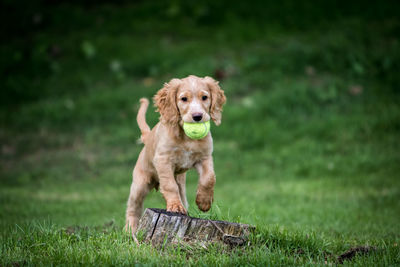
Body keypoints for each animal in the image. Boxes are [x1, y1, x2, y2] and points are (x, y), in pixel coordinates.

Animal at [125, 75, 225, 232]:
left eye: (204, 97)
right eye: (184, 99)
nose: (197, 116)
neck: (186, 138)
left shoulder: (205, 158)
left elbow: (209, 178)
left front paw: (204, 202)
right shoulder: (163, 160)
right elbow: (169, 185)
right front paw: (175, 207)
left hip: (181, 182)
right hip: (139, 184)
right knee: (133, 207)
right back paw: (131, 229)